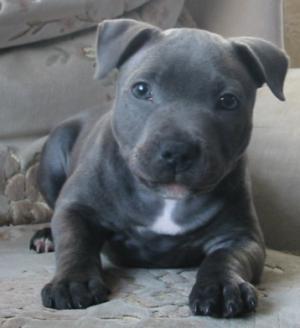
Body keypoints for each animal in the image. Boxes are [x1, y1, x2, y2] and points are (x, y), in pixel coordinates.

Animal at [31, 18, 288, 318]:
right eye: (141, 90)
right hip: (52, 157)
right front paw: (74, 282)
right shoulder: (76, 208)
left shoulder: (241, 236)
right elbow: (75, 243)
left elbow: (226, 258)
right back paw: (45, 236)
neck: (165, 199)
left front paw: (221, 287)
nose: (178, 150)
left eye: (228, 101)